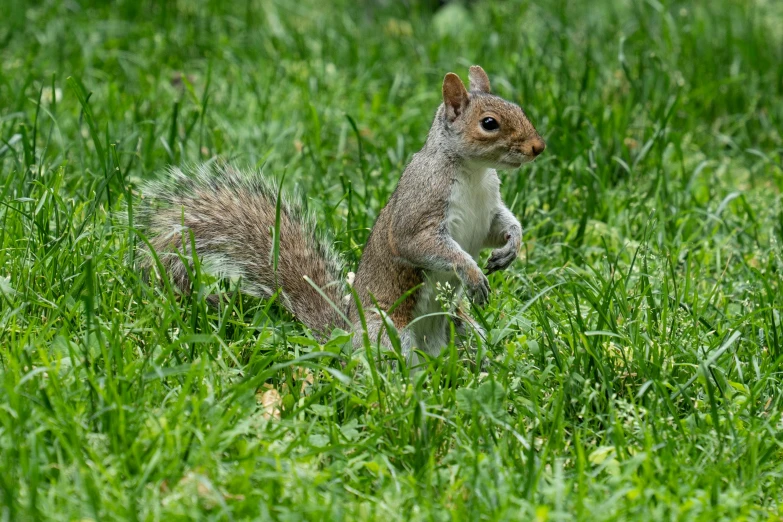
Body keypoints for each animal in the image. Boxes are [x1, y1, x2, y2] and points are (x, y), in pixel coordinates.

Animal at [139, 65, 544, 364]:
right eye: (489, 123)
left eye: (519, 109)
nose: (538, 147)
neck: (474, 173)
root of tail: (346, 336)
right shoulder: (420, 208)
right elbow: (421, 244)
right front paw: (472, 273)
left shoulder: (488, 209)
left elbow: (500, 227)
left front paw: (511, 247)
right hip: (388, 334)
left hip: (459, 327)